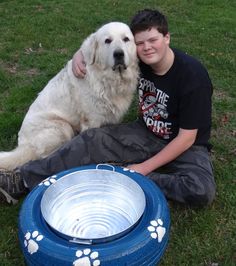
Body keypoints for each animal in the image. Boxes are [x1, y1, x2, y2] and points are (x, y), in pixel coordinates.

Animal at [0, 21, 138, 169]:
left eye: (126, 39)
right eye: (108, 40)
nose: (118, 54)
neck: (111, 80)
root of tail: (23, 144)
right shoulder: (92, 120)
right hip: (62, 127)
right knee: (44, 156)